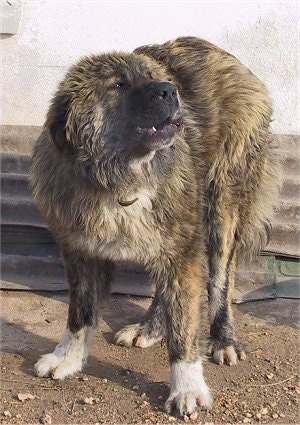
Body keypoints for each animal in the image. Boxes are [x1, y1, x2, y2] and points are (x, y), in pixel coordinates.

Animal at [29, 36, 280, 418]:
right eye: (118, 85)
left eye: (152, 78)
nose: (169, 89)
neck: (118, 180)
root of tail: (227, 56)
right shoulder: (80, 251)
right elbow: (80, 314)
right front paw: (67, 358)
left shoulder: (185, 246)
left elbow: (186, 328)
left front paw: (187, 386)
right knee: (167, 288)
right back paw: (150, 327)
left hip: (220, 210)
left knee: (220, 281)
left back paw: (223, 338)